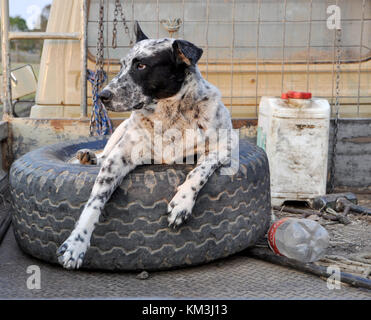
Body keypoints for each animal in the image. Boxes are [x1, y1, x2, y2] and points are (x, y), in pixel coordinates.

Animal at [56, 21, 235, 268]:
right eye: (122, 64)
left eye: (141, 65)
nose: (102, 95)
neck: (170, 114)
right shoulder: (118, 159)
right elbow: (93, 202)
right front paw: (75, 244)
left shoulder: (225, 148)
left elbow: (199, 170)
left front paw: (182, 203)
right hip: (120, 130)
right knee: (104, 153)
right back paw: (89, 156)